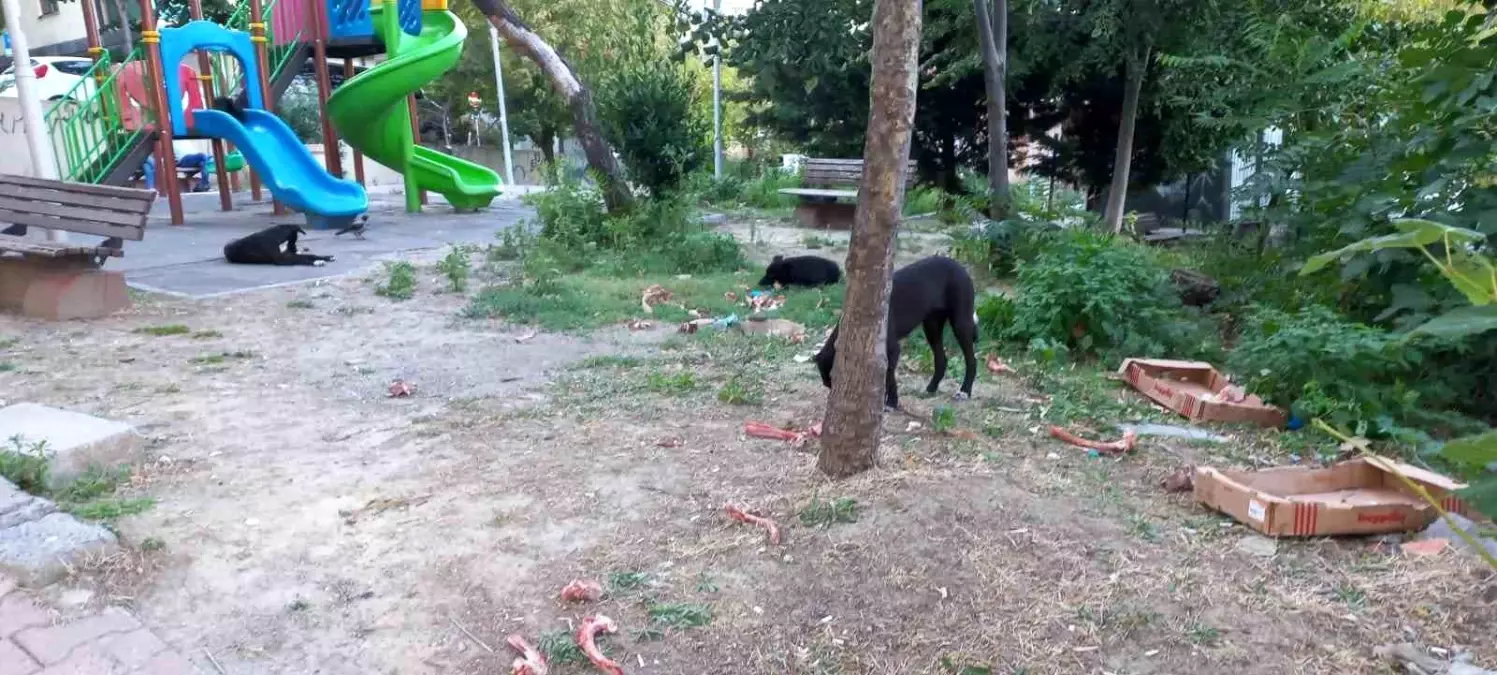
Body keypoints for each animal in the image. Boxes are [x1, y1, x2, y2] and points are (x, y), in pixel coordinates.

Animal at [814, 255, 976, 410]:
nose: (833, 392)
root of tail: (959, 266)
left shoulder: (892, 350)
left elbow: (889, 376)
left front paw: (891, 402)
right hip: (932, 326)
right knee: (941, 359)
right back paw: (931, 388)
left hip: (961, 323)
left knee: (971, 359)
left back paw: (964, 391)